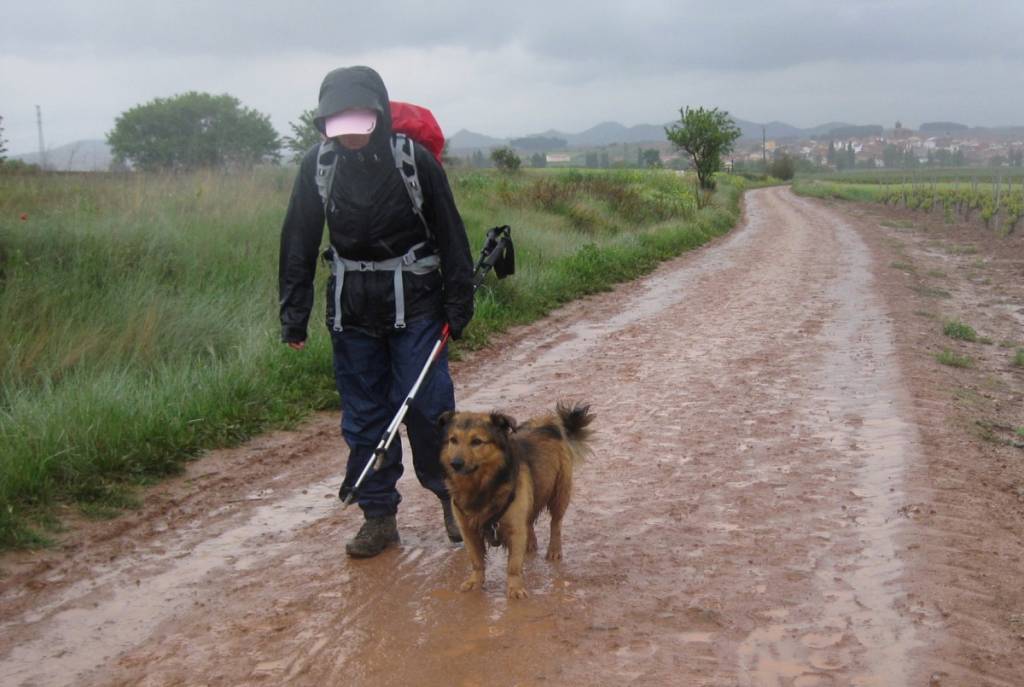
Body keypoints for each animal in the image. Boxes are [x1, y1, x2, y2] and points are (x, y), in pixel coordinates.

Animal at [438, 401, 593, 597]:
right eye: (453, 440)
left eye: (477, 441)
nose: (455, 464)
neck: (480, 486)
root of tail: (548, 423)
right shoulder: (468, 530)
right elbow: (476, 560)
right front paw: (475, 581)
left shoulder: (514, 527)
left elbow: (513, 565)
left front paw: (515, 588)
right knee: (529, 520)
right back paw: (531, 542)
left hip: (560, 492)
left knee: (555, 524)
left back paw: (554, 550)